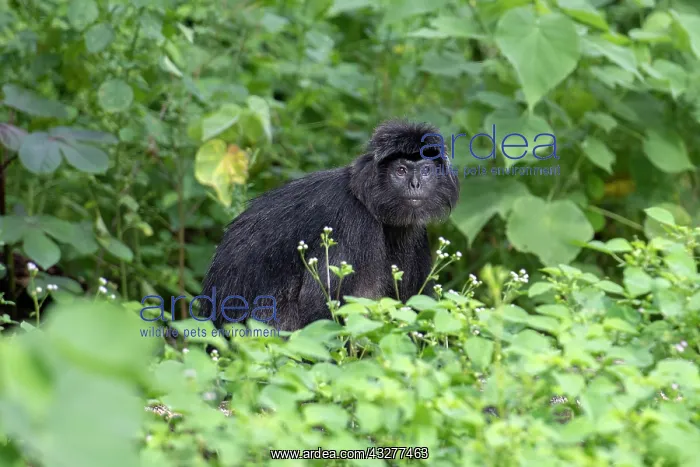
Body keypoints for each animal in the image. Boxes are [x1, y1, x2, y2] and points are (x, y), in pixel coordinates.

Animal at [197, 119, 460, 332]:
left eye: (425, 171)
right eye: (401, 170)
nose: (415, 184)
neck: (366, 200)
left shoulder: (413, 229)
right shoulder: (351, 223)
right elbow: (323, 310)